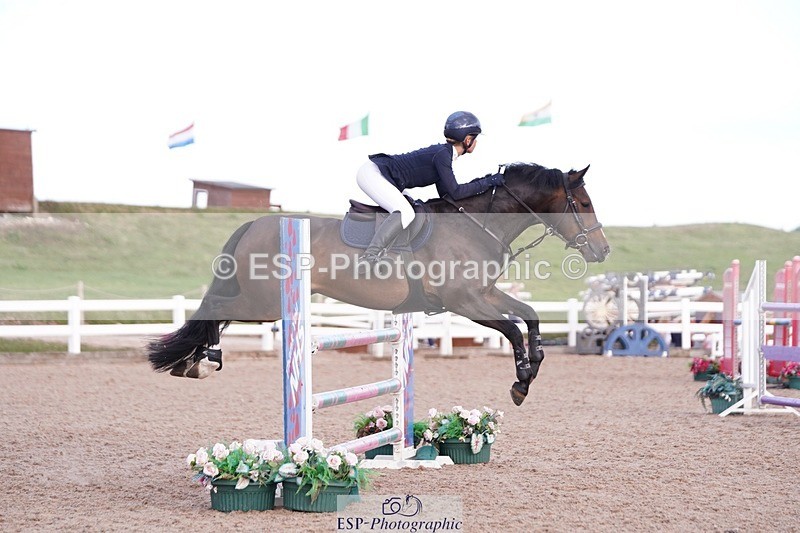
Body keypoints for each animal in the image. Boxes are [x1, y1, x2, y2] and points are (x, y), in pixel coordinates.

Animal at [147, 162, 610, 406]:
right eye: (583, 202)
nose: (602, 250)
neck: (476, 225)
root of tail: (254, 224)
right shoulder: (463, 302)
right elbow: (512, 329)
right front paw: (520, 382)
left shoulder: (483, 294)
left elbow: (530, 317)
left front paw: (533, 369)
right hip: (264, 303)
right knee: (215, 311)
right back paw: (198, 363)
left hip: (261, 299)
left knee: (216, 313)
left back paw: (194, 361)